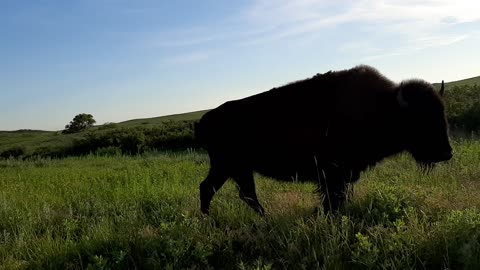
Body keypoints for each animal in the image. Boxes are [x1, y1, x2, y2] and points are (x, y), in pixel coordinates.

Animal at [194, 65, 450, 215]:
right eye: (421, 119)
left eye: (442, 113)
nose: (447, 153)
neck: (383, 106)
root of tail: (204, 120)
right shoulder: (332, 175)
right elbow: (332, 200)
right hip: (228, 166)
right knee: (216, 190)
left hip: (235, 169)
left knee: (231, 192)